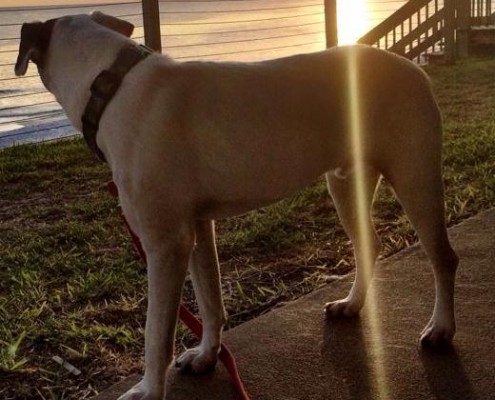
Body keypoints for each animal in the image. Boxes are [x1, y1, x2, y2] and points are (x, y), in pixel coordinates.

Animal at [15, 12, 460, 400]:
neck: (110, 84)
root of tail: (413, 69)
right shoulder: (196, 228)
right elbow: (210, 300)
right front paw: (207, 355)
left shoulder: (165, 243)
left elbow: (156, 333)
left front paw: (149, 390)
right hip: (345, 183)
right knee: (369, 243)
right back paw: (352, 305)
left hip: (415, 177)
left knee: (443, 257)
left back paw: (441, 329)